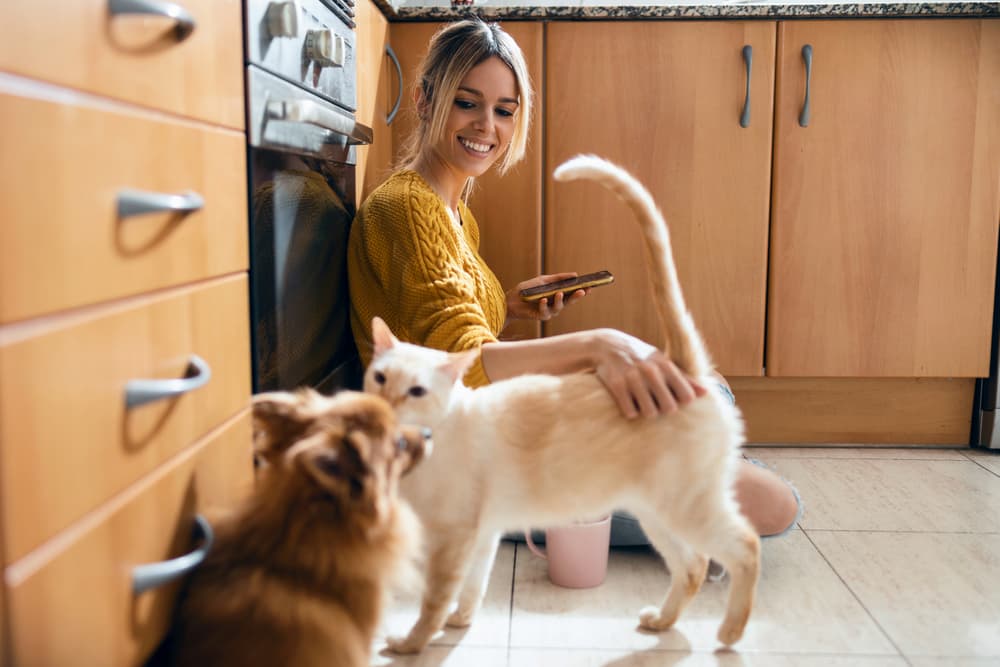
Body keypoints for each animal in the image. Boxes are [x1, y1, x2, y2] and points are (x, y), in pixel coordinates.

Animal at [366, 154, 756, 648]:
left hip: (686, 505)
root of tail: (681, 366)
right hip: (653, 509)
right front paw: (460, 623)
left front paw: (409, 644)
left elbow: (433, 601)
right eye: (380, 378)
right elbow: (472, 588)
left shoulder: (452, 537)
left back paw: (730, 633)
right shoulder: (483, 533)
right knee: (693, 565)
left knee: (745, 546)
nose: (387, 404)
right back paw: (661, 622)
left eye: (416, 391)